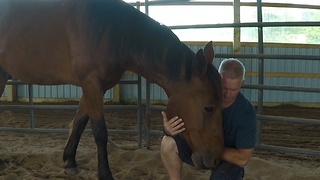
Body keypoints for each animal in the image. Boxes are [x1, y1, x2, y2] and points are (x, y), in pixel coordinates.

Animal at [0, 0, 224, 179]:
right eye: (208, 107)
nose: (215, 160)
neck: (109, 31)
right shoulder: (91, 83)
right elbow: (100, 132)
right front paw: (104, 174)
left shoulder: (94, 87)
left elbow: (80, 123)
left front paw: (70, 161)